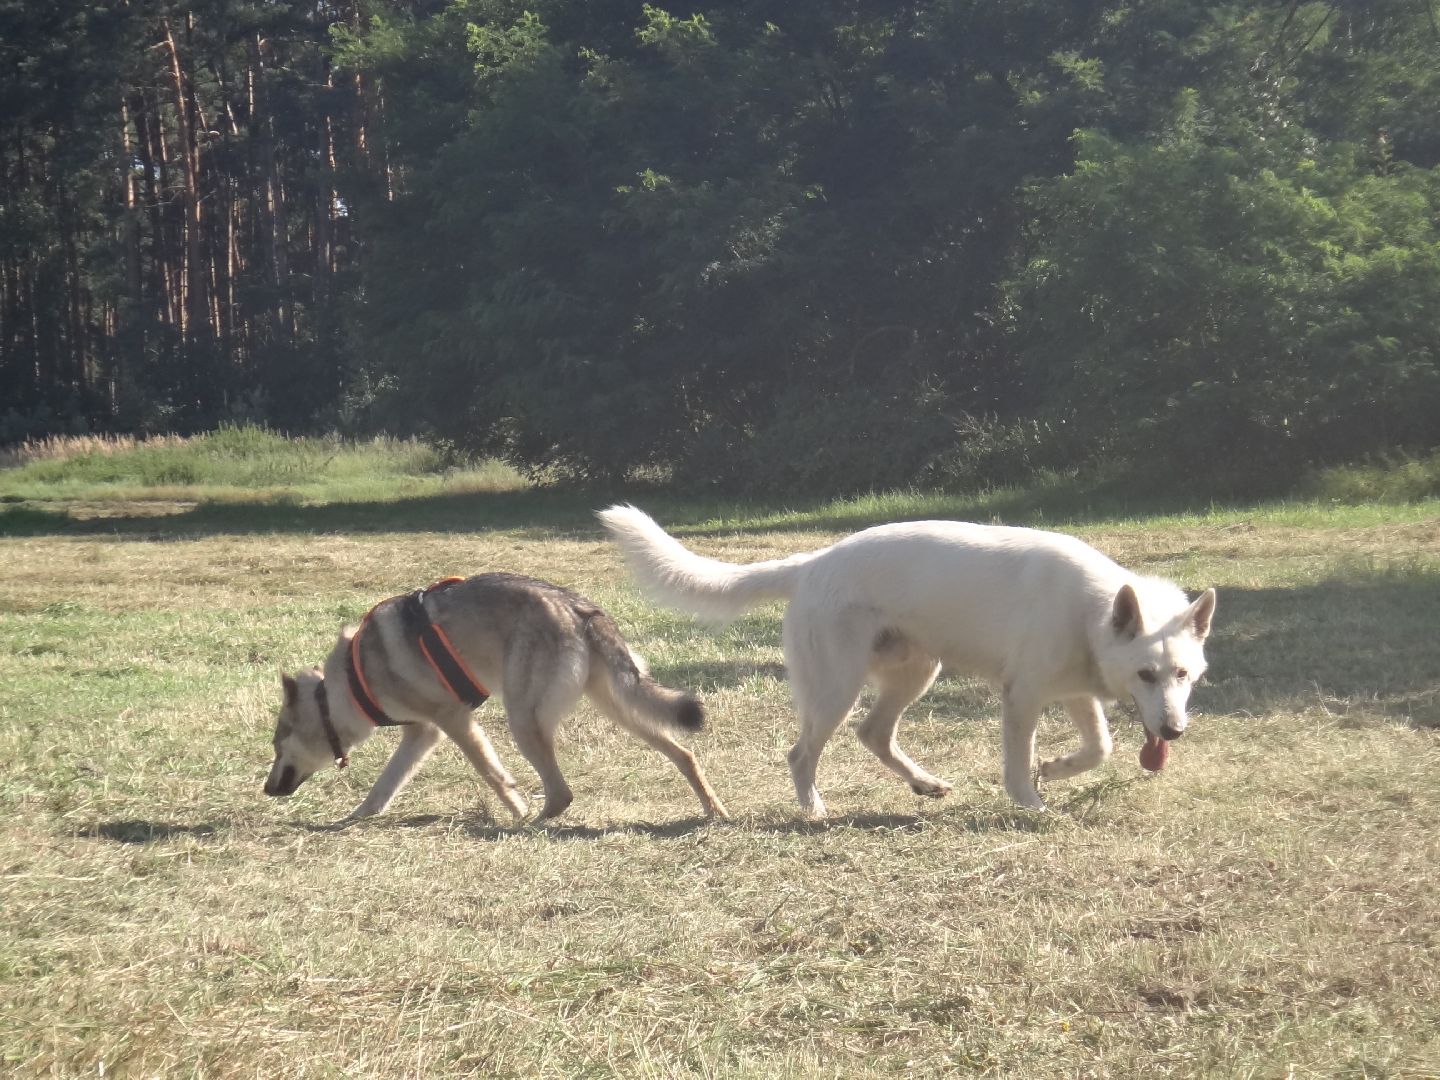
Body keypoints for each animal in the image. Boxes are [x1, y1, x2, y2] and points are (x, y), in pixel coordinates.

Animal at [596, 506, 1215, 812]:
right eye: (1146, 674)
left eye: (1182, 675)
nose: (1173, 731)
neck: (1089, 611)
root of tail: (813, 563)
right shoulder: (1022, 697)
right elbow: (1018, 763)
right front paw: (1030, 801)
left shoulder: (1076, 692)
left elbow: (1099, 748)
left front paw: (1055, 768)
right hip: (836, 690)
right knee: (801, 754)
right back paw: (814, 810)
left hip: (914, 674)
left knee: (874, 734)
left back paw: (924, 784)